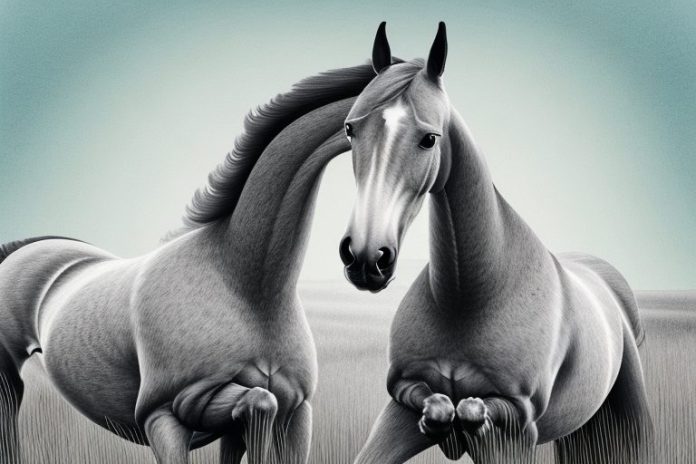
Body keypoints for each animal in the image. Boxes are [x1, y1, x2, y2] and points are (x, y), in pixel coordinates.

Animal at [0, 62, 376, 463]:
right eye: (354, 127)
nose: (367, 261)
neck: (244, 281)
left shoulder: (295, 412)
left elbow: (257, 411)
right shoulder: (164, 415)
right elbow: (256, 404)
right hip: (7, 370)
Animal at [339, 23, 653, 463]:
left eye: (429, 139)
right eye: (351, 128)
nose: (367, 258)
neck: (470, 295)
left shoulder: (513, 426)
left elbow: (473, 410)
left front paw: (460, 423)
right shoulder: (401, 401)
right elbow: (433, 405)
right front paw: (442, 425)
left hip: (628, 413)